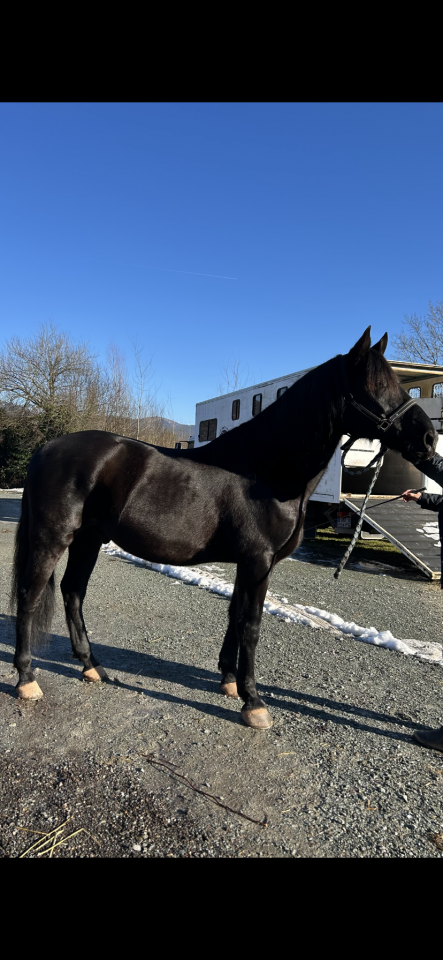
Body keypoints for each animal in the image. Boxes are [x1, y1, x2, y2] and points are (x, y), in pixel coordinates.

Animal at [11, 328, 436, 729]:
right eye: (375, 384)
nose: (428, 438)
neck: (265, 471)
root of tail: (47, 449)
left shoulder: (249, 564)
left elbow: (234, 616)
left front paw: (230, 682)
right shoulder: (258, 561)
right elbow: (251, 624)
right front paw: (255, 703)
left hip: (89, 540)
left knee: (73, 593)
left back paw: (91, 666)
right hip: (53, 538)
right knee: (30, 596)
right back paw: (27, 680)